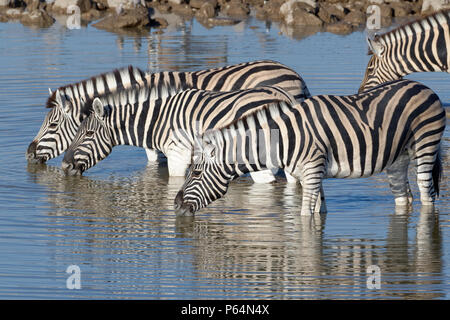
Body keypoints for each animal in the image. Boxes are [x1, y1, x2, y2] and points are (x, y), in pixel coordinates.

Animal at [174, 79, 444, 216]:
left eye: (196, 173)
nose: (175, 206)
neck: (284, 138)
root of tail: (423, 86)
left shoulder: (312, 172)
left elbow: (305, 217)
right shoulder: (312, 175)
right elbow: (318, 212)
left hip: (426, 143)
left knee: (426, 193)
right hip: (398, 157)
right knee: (403, 197)